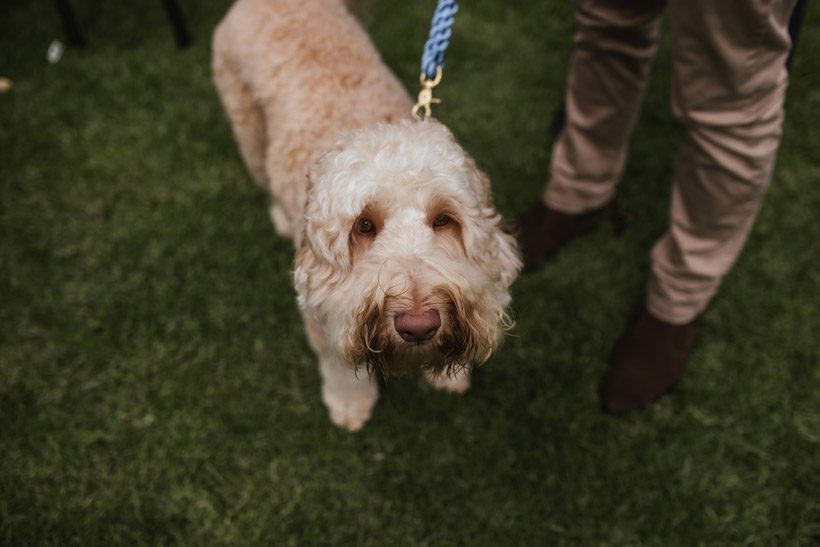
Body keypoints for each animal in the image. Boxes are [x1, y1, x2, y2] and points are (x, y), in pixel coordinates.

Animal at [211, 0, 520, 430]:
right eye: (365, 225)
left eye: (443, 219)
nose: (418, 326)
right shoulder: (323, 314)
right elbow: (340, 367)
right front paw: (350, 405)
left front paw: (448, 375)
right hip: (248, 131)